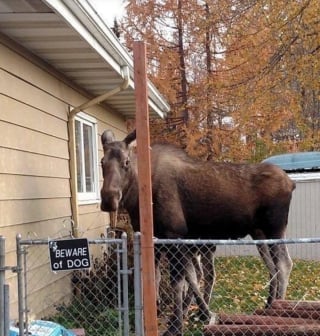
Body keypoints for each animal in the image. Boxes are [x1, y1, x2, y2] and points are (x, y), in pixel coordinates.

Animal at [99, 129, 296, 336]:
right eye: (102, 162)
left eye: (126, 162)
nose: (109, 199)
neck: (138, 198)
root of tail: (291, 183)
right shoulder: (158, 241)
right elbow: (163, 278)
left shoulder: (174, 235)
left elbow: (179, 282)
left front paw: (176, 325)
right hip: (259, 234)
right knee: (272, 268)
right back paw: (268, 305)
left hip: (275, 228)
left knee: (284, 264)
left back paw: (277, 310)